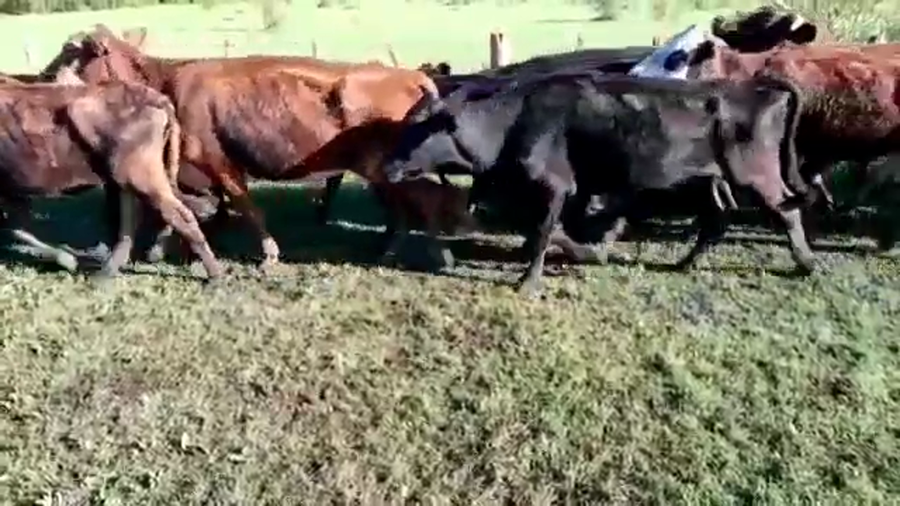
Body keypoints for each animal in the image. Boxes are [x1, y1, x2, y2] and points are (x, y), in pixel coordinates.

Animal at [0, 81, 222, 281]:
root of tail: (155, 97)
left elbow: (14, 229)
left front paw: (68, 260)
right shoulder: (13, 194)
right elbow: (17, 228)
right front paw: (67, 259)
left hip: (138, 177)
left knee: (178, 216)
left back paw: (215, 276)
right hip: (124, 182)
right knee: (130, 224)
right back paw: (107, 271)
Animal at [53, 24, 443, 271]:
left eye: (71, 52)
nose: (46, 77)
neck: (167, 82)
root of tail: (412, 75)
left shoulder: (217, 161)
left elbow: (245, 206)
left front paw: (269, 253)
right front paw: (160, 248)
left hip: (388, 168)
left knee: (421, 204)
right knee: (405, 209)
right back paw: (390, 250)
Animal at [381, 73, 813, 295]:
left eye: (420, 128)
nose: (387, 166)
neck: (510, 123)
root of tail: (762, 87)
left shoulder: (555, 186)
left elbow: (541, 233)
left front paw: (528, 281)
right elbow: (540, 232)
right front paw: (588, 250)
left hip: (756, 174)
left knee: (787, 212)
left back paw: (807, 264)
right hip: (709, 178)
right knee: (718, 218)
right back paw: (686, 263)